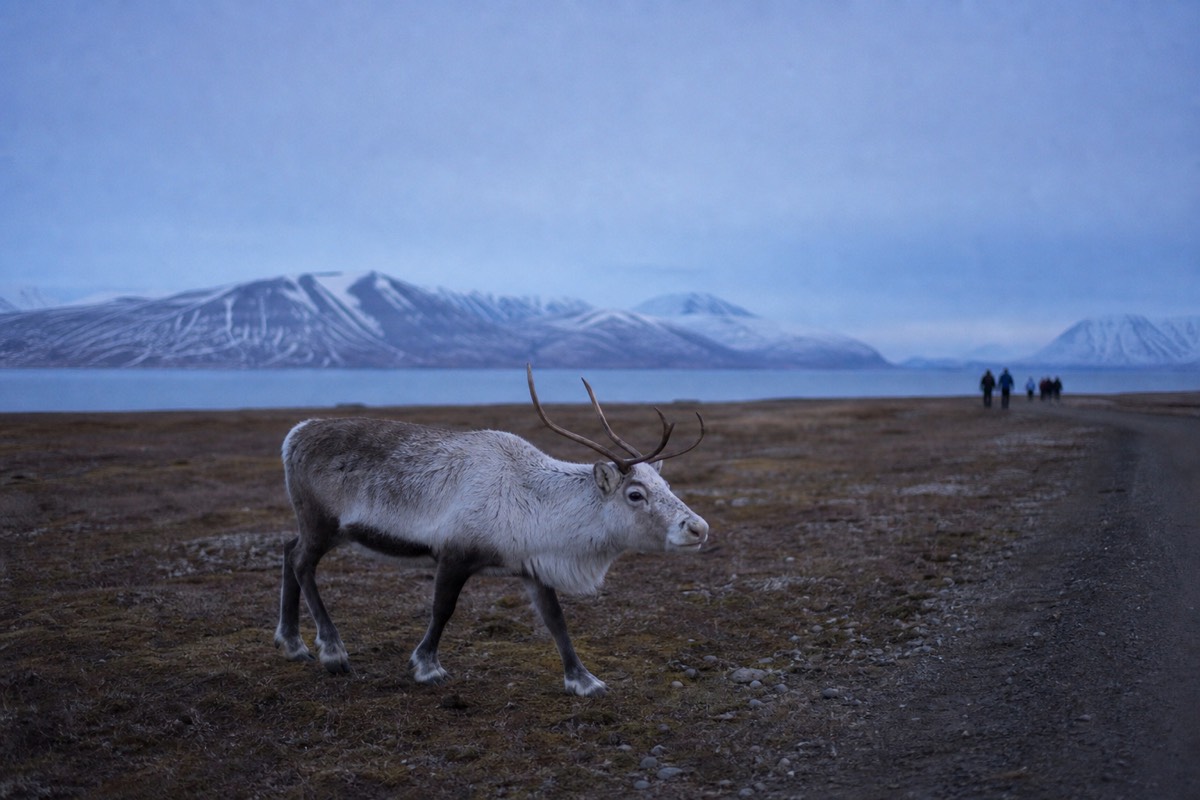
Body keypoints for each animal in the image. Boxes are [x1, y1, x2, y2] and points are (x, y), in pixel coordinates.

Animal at [274, 365, 709, 697]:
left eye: (667, 484)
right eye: (635, 494)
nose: (698, 527)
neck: (532, 500)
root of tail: (295, 433)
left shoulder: (532, 566)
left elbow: (556, 621)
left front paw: (583, 680)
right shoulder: (454, 554)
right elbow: (442, 609)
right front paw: (426, 666)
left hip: (319, 527)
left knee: (288, 549)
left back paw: (292, 643)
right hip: (321, 522)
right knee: (302, 562)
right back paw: (332, 651)